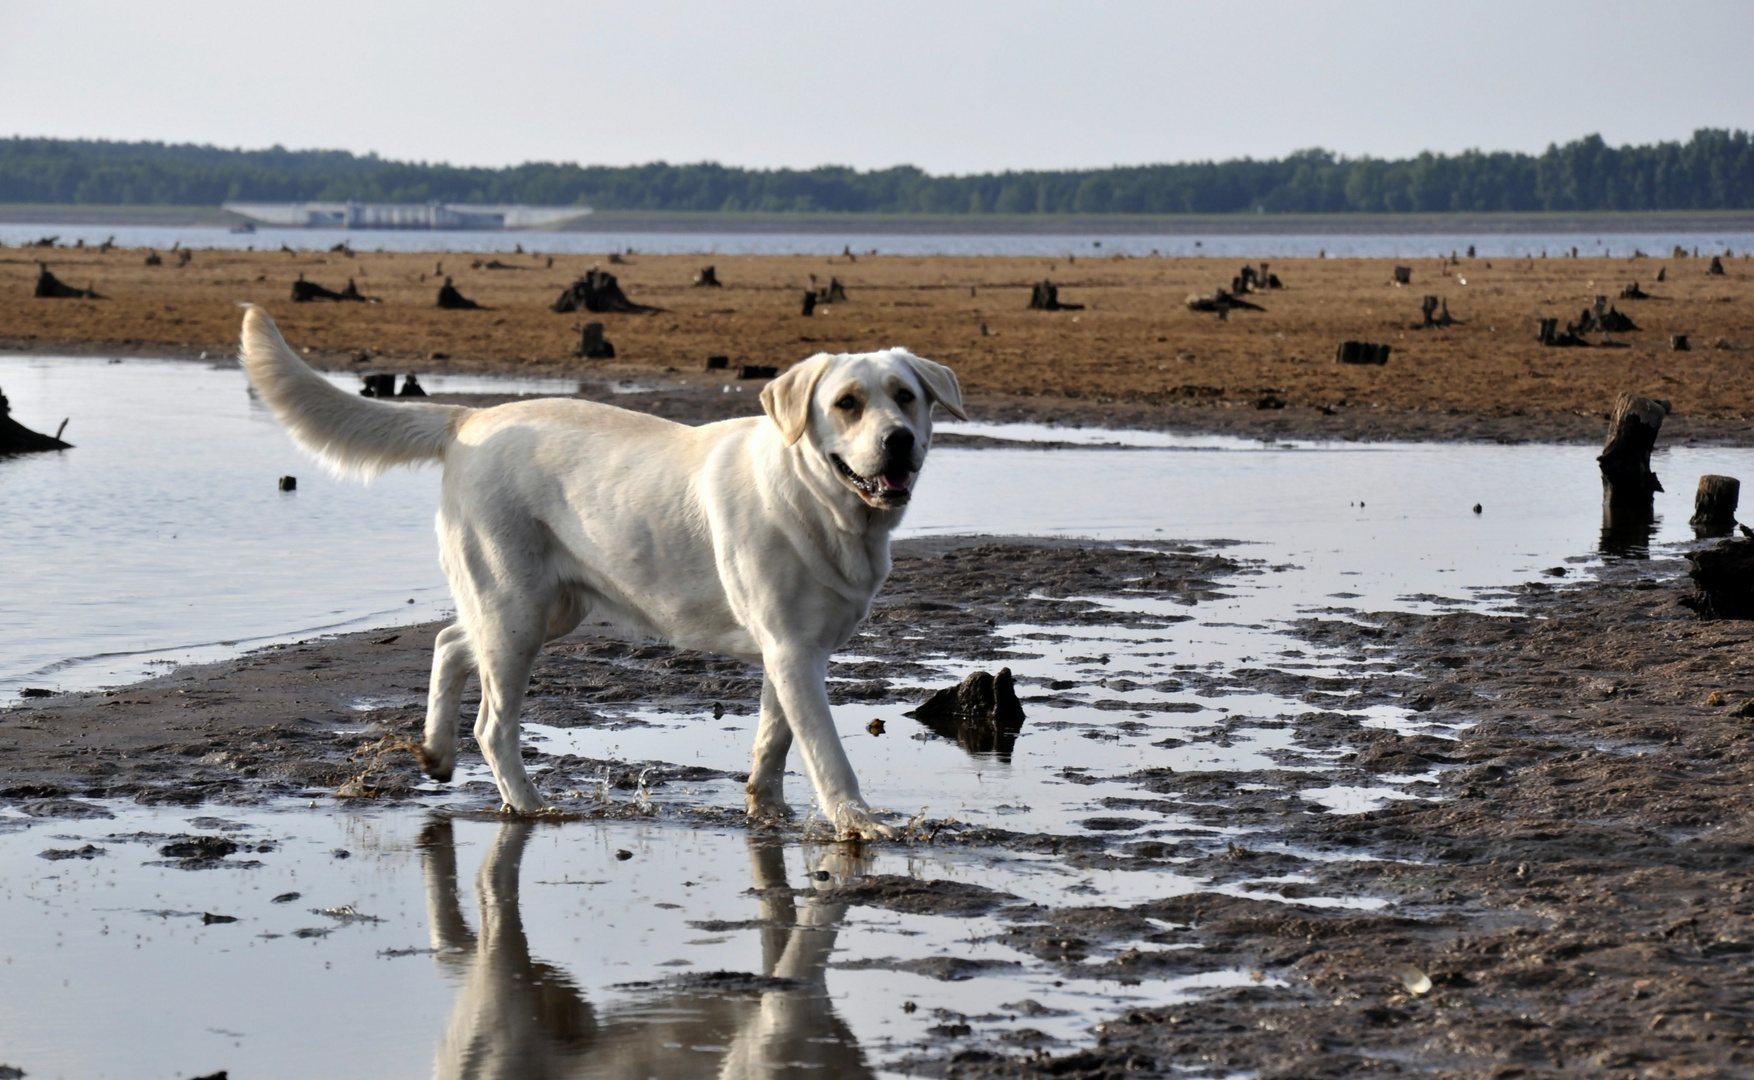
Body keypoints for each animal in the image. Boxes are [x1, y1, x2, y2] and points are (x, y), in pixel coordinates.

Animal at [236, 308, 961, 838]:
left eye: (906, 397)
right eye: (846, 403)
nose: (899, 439)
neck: (819, 500)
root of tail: (471, 417)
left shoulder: (794, 652)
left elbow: (773, 740)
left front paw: (766, 809)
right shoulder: (790, 652)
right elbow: (825, 750)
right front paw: (860, 822)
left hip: (541, 609)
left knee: (449, 641)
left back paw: (436, 753)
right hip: (517, 611)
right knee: (491, 723)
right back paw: (529, 803)